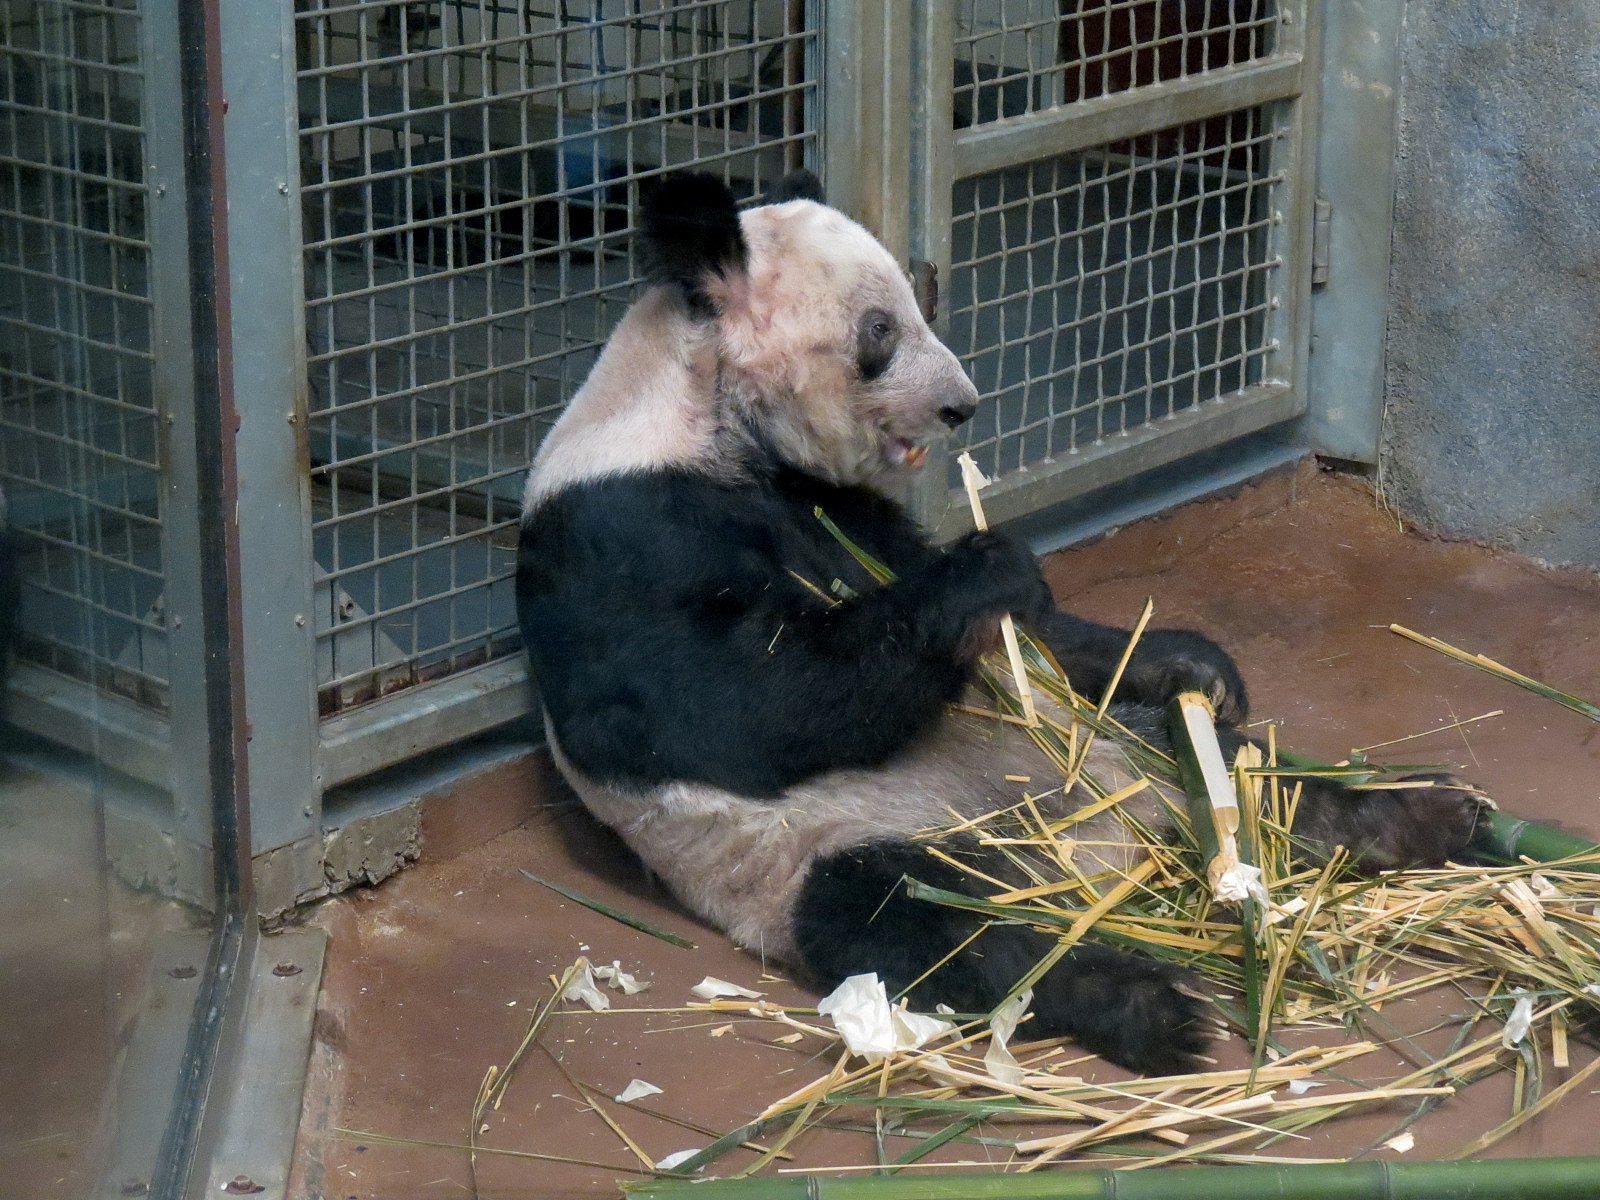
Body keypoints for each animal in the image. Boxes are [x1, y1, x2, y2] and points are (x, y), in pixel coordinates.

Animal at [515, 171, 1487, 1075]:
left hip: (1116, 748)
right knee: (922, 923)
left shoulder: (826, 499)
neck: (705, 413)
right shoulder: (620, 529)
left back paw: (1418, 820)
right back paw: (1154, 1007)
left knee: (1240, 769)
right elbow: (727, 706)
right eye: (880, 330)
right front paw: (989, 570)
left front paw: (1191, 662)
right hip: (824, 848)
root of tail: (1097, 854)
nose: (962, 406)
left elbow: (1035, 643)